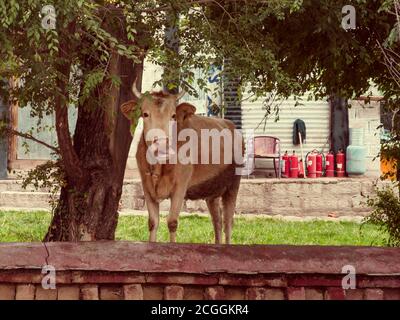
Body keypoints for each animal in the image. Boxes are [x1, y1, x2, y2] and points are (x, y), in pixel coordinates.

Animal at [120, 82, 242, 242]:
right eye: (145, 114)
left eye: (173, 116)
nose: (161, 144)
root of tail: (230, 124)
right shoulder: (147, 187)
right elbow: (153, 222)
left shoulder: (180, 186)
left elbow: (172, 222)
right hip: (212, 191)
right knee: (217, 221)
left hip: (233, 186)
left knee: (228, 223)